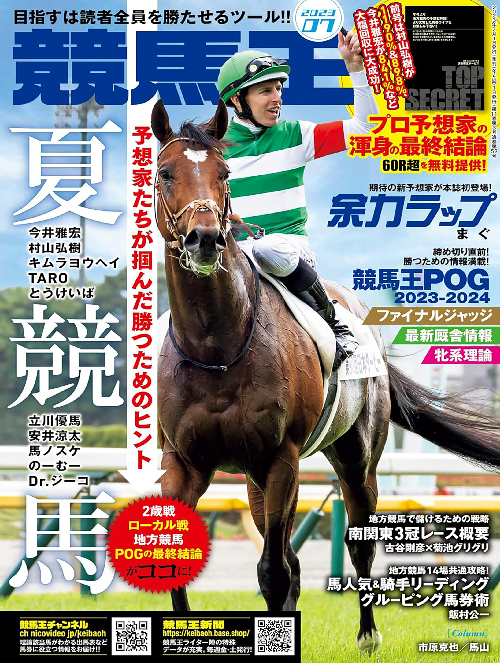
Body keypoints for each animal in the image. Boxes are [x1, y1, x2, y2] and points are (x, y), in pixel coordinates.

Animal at [152, 98, 500, 654]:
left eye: (223, 173)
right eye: (165, 172)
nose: (204, 239)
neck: (217, 346)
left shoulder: (282, 458)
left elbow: (273, 571)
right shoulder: (183, 463)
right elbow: (184, 563)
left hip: (355, 461)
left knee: (356, 546)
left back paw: (368, 636)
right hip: (256, 478)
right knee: (290, 557)